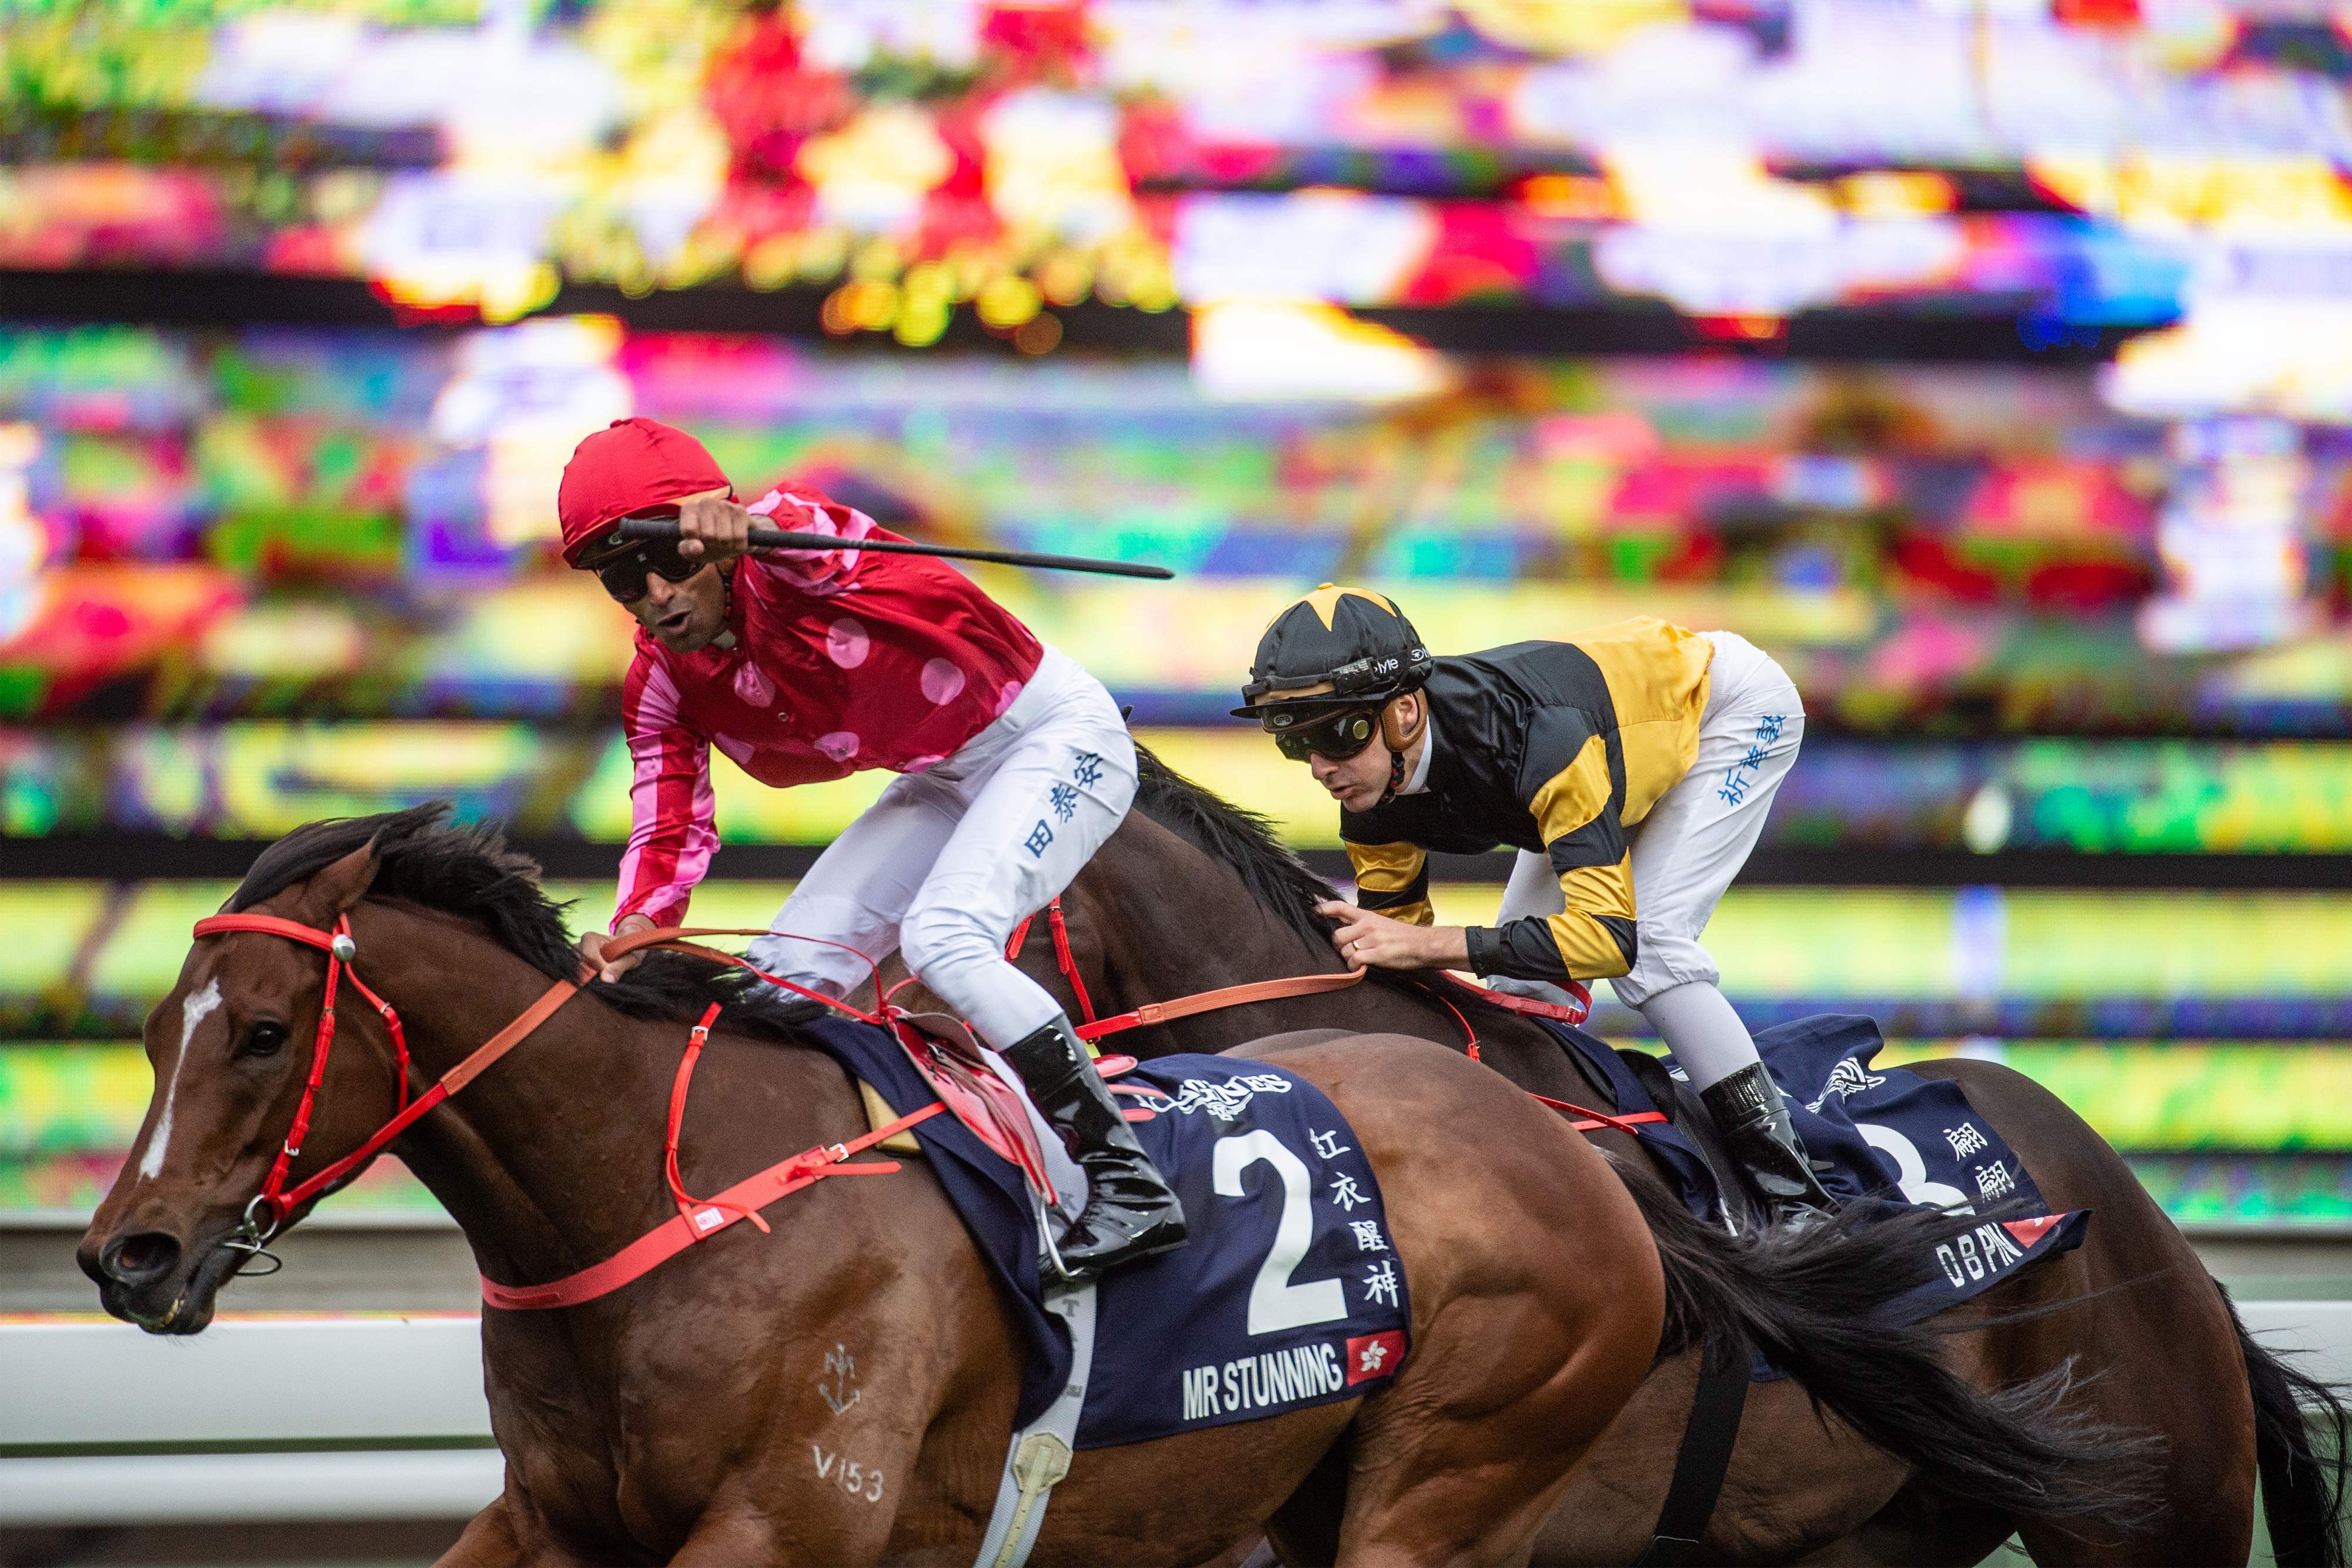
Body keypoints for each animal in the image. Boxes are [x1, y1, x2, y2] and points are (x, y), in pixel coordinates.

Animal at [74, 808, 1675, 1568]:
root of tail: (1563, 1145)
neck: (662, 1195)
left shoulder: (788, 1521)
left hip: (1457, 1473)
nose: (125, 1256)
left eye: (262, 1032)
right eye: (154, 1031)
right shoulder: (550, 1520)